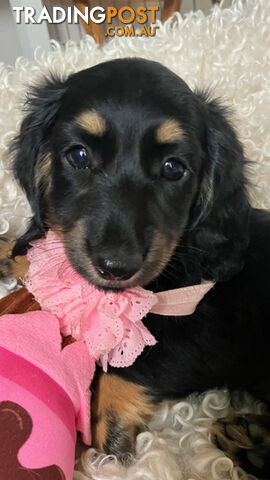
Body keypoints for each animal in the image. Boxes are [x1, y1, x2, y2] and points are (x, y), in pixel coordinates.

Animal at [1, 58, 270, 474]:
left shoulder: (207, 329)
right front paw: (9, 254)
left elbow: (129, 368)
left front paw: (107, 444)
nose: (115, 267)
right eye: (79, 156)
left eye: (173, 168)